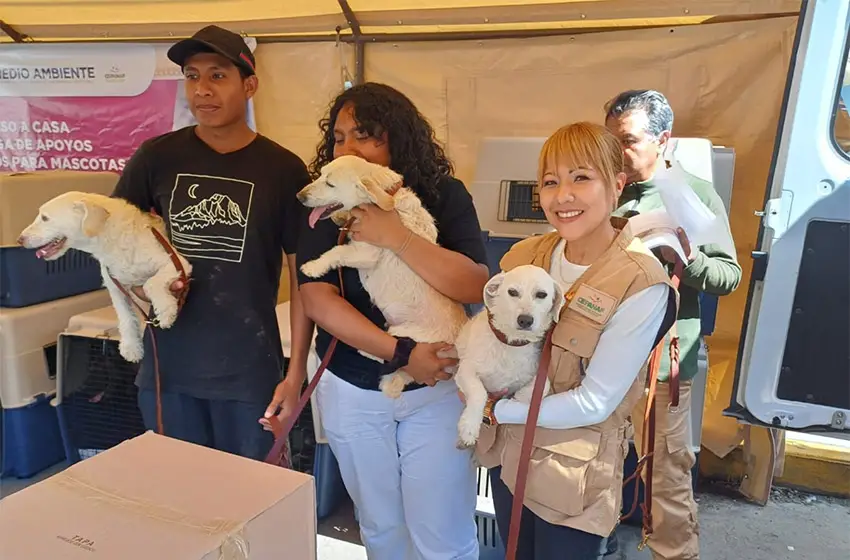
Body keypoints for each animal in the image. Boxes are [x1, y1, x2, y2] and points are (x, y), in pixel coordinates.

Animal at [17, 191, 192, 364]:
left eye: (45, 218)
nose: (20, 240)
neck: (112, 241)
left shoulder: (176, 263)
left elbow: (151, 283)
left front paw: (166, 311)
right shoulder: (115, 286)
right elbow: (125, 316)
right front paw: (131, 347)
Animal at [296, 154, 470, 398]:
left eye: (330, 183)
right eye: (320, 174)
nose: (299, 197)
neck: (386, 195)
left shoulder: (365, 253)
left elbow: (336, 252)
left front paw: (313, 267)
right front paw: (341, 217)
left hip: (404, 333)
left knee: (393, 354)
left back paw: (366, 352)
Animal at [450, 264, 564, 448]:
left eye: (541, 295)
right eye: (512, 292)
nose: (525, 320)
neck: (510, 344)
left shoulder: (536, 375)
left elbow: (541, 387)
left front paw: (517, 396)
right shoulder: (465, 371)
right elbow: (479, 392)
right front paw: (469, 427)